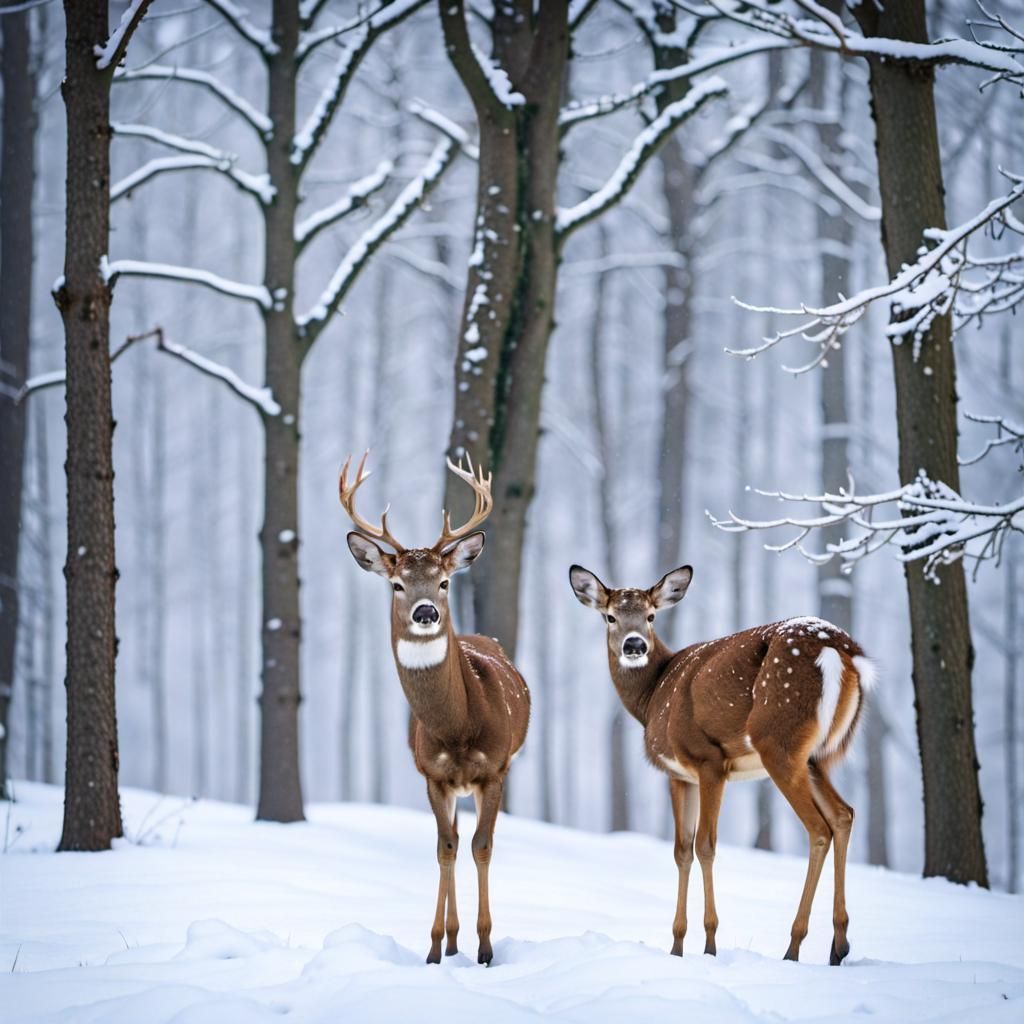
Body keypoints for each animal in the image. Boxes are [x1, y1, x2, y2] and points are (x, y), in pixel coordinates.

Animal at [340, 452, 530, 966]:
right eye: (396, 584)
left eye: (444, 582)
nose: (426, 612)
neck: (457, 731)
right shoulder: (432, 774)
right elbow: (445, 848)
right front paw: (433, 948)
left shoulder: (495, 769)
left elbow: (483, 847)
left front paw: (485, 948)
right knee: (452, 841)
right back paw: (449, 940)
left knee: (470, 841)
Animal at [569, 563, 876, 966]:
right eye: (610, 616)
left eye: (651, 616)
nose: (634, 645)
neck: (651, 698)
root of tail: (840, 648)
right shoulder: (683, 774)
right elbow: (681, 851)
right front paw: (677, 946)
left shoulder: (706, 760)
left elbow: (704, 846)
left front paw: (709, 945)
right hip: (816, 756)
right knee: (843, 815)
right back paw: (838, 946)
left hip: (778, 740)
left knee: (819, 829)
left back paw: (793, 947)